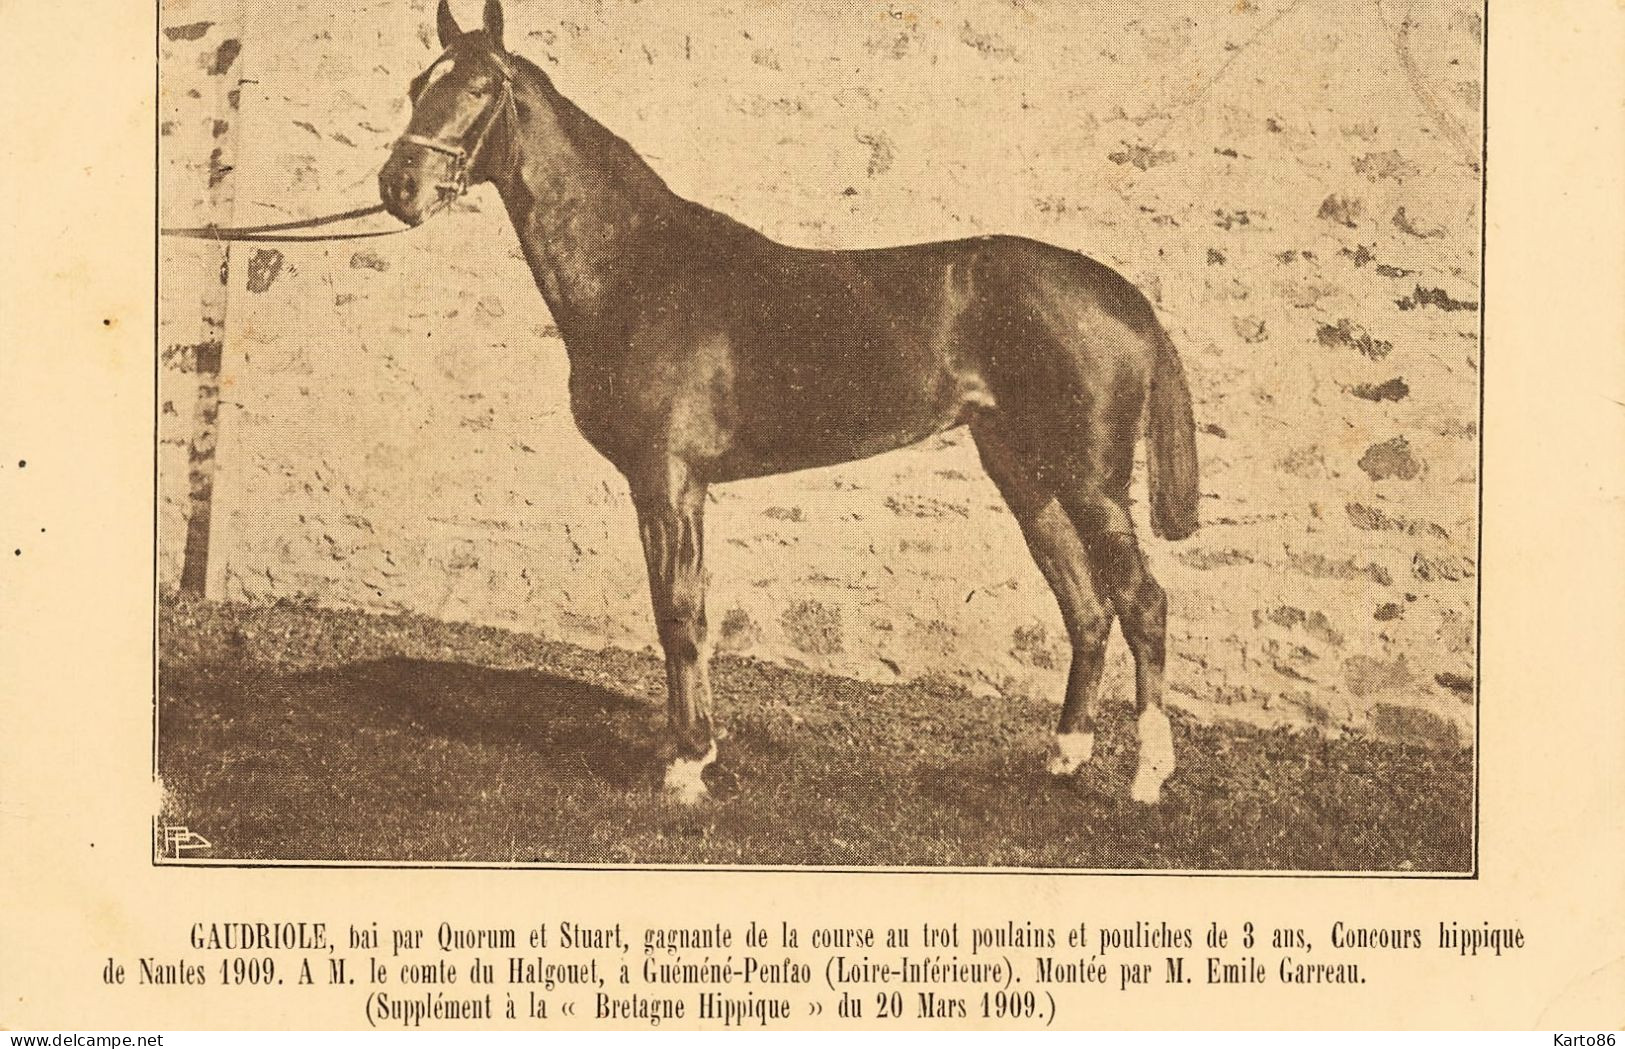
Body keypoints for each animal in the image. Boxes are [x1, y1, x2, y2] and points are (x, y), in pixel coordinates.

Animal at [373, 0, 1202, 805]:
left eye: (479, 88)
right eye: (418, 85)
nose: (398, 185)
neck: (640, 272)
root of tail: (1128, 300)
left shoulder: (669, 478)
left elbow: (680, 615)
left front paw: (687, 765)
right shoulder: (661, 486)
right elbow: (675, 610)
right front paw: (688, 749)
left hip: (1090, 481)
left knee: (1142, 602)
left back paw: (1147, 776)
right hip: (1026, 474)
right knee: (1086, 606)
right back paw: (1063, 757)